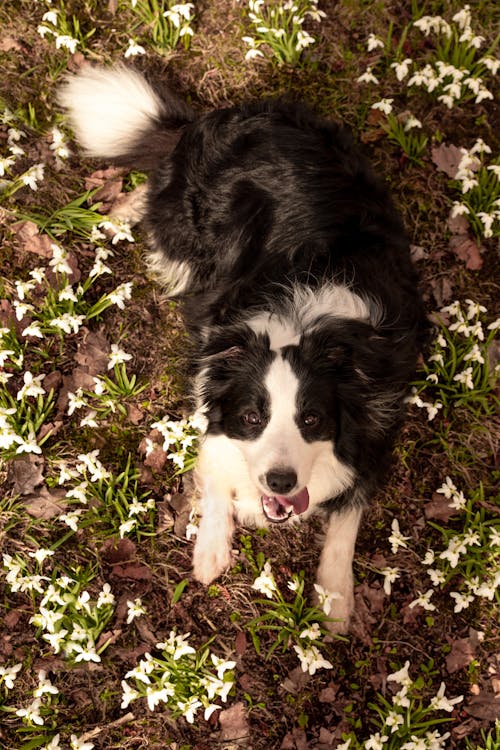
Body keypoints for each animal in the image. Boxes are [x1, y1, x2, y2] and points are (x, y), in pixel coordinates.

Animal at [58, 67, 426, 636]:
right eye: (253, 418)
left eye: (313, 420)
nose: (281, 481)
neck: (303, 325)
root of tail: (204, 121)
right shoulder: (211, 373)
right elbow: (214, 464)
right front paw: (211, 550)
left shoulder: (378, 419)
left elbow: (347, 518)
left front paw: (335, 597)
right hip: (184, 233)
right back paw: (121, 211)